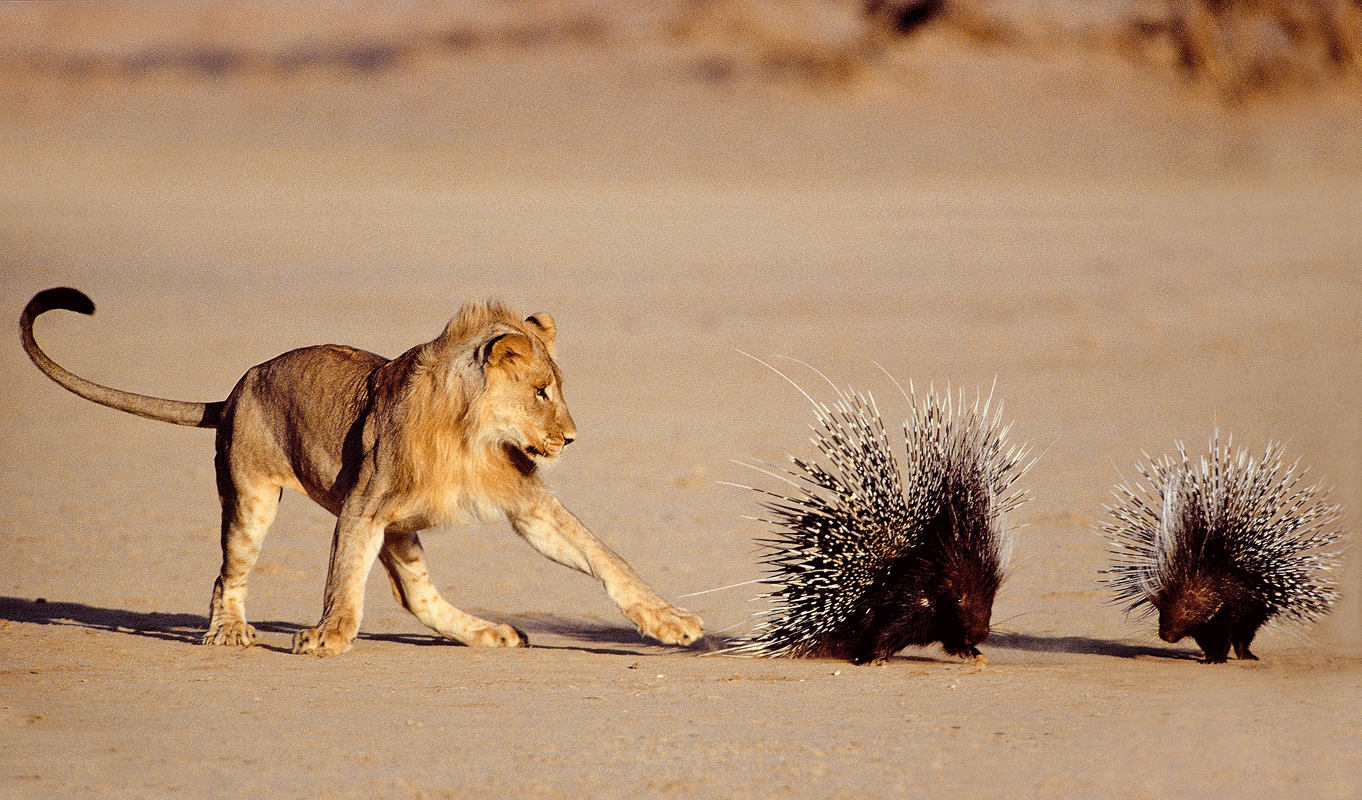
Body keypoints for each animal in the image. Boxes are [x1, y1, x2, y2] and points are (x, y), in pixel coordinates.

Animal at [18, 287, 702, 656]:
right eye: (541, 392)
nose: (571, 436)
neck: (470, 436)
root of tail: (237, 388)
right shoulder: (363, 504)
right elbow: (342, 581)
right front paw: (327, 636)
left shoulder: (528, 505)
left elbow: (607, 558)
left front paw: (670, 622)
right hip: (253, 496)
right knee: (226, 574)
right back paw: (230, 632)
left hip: (400, 532)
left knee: (418, 596)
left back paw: (488, 633)